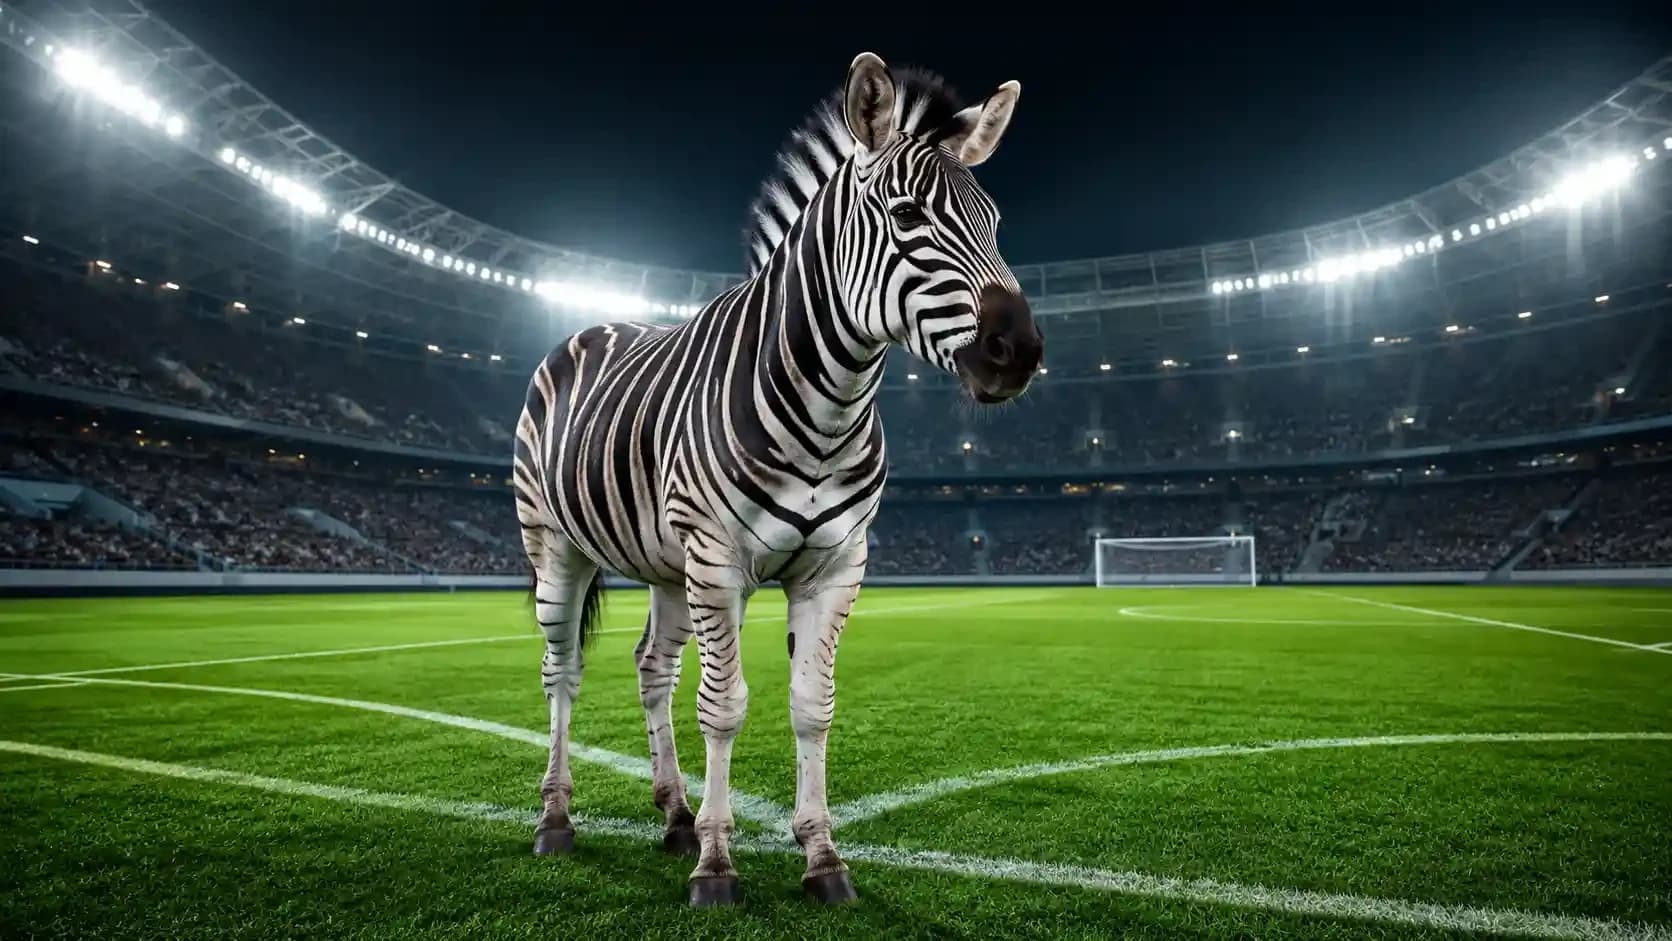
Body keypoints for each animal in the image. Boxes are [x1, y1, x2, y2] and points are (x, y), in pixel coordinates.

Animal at [512, 51, 1043, 908]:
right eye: (905, 217)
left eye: (994, 224)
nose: (1019, 351)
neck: (827, 410)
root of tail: (590, 327)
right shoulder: (720, 559)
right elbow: (725, 705)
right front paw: (717, 864)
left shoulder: (836, 564)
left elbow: (811, 707)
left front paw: (820, 855)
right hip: (558, 545)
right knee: (563, 671)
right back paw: (557, 820)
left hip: (669, 566)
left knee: (651, 666)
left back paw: (675, 813)